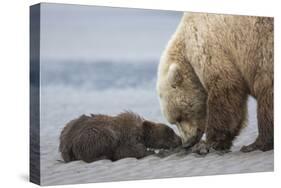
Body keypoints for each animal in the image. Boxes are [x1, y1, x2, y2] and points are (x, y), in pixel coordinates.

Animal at [155, 12, 272, 154]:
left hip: (264, 48)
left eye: (180, 117)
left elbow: (225, 90)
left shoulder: (209, 44)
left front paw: (207, 144)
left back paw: (256, 144)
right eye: (173, 122)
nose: (186, 143)